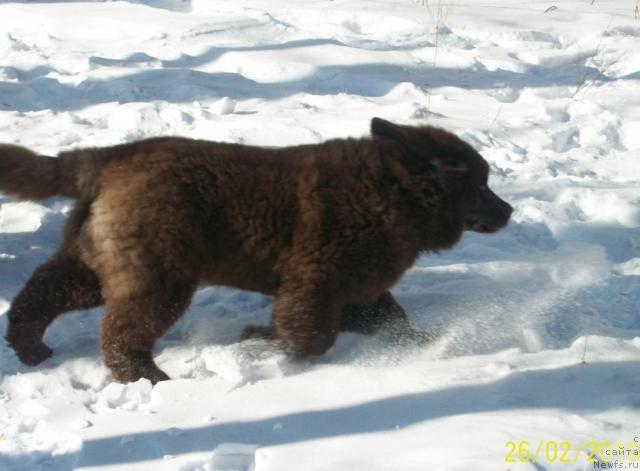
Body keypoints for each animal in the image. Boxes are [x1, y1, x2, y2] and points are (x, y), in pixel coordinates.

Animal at [0, 118, 510, 384]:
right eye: (481, 185)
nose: (508, 211)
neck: (394, 194)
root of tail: (107, 158)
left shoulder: (360, 285)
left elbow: (390, 318)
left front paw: (423, 342)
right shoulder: (316, 279)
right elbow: (312, 333)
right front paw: (265, 342)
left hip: (97, 263)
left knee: (40, 293)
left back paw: (30, 349)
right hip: (160, 275)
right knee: (120, 333)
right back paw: (148, 377)